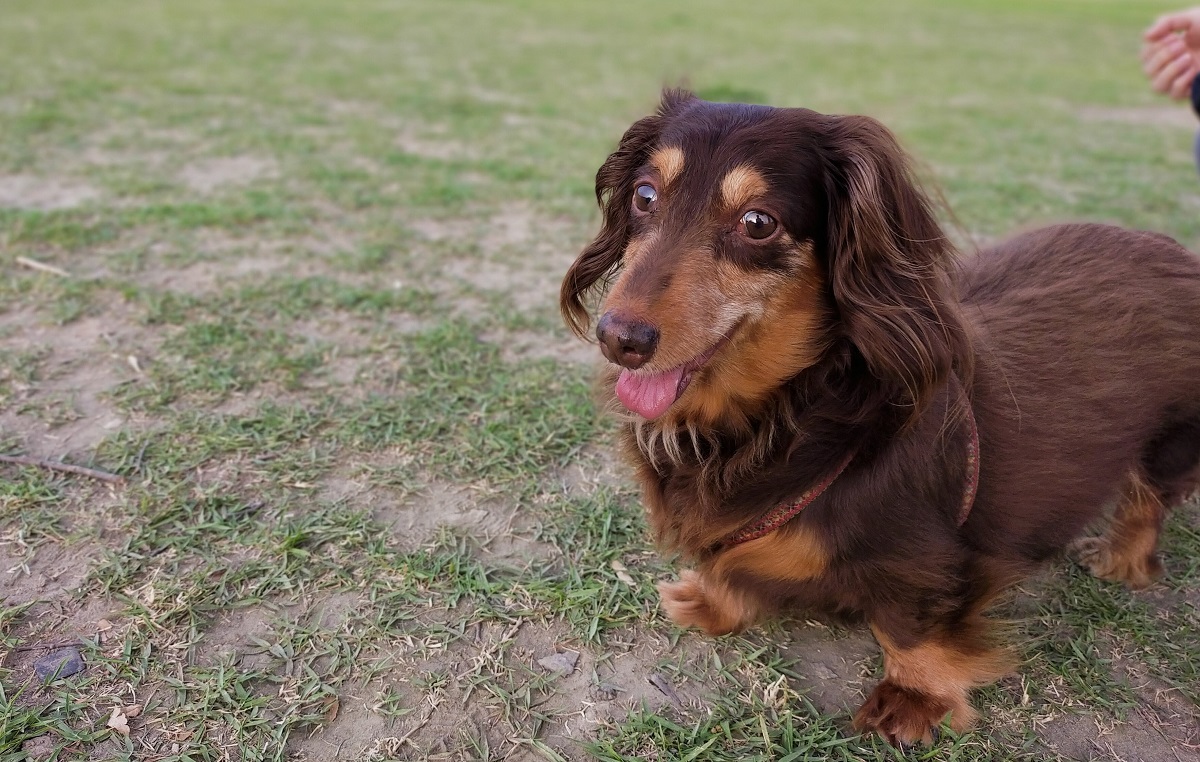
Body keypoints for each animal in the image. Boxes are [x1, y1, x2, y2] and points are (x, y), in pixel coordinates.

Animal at [556, 92, 1200, 748]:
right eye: (644, 195)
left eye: (758, 223)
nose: (620, 339)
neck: (789, 416)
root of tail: (1172, 249)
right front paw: (713, 599)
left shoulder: (926, 560)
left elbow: (909, 626)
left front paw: (914, 698)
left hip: (1171, 439)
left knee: (1147, 501)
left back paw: (1122, 560)